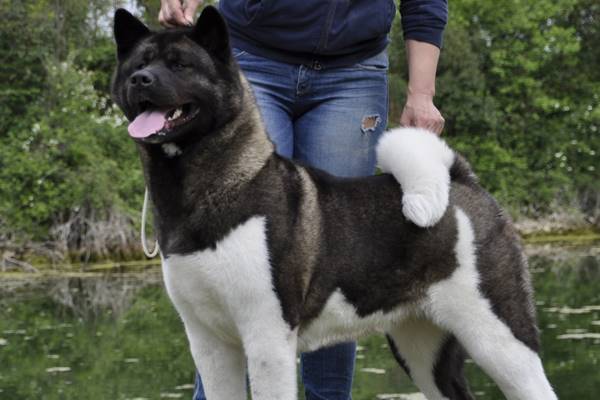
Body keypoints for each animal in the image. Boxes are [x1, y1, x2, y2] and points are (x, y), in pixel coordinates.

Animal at [110, 7, 556, 400]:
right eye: (138, 63)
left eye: (180, 65)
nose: (140, 79)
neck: (211, 185)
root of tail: (461, 180)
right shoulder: (210, 345)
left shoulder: (267, 338)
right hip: (421, 345)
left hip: (500, 336)